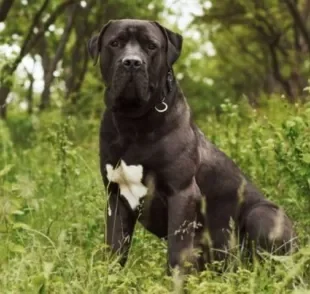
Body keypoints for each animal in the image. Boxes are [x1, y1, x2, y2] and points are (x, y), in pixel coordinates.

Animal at [86, 19, 296, 274]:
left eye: (151, 45)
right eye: (115, 43)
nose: (132, 62)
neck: (133, 122)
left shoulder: (182, 192)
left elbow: (177, 251)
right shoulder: (116, 197)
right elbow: (115, 247)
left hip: (262, 213)